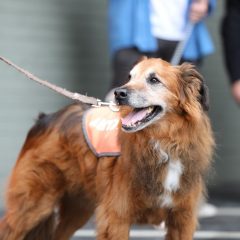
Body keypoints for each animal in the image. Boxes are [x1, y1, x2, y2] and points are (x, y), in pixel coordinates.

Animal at [0, 58, 214, 240]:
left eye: (154, 80)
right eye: (129, 77)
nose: (119, 93)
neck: (164, 145)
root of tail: (45, 118)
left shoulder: (182, 219)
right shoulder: (116, 217)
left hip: (78, 209)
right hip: (32, 205)